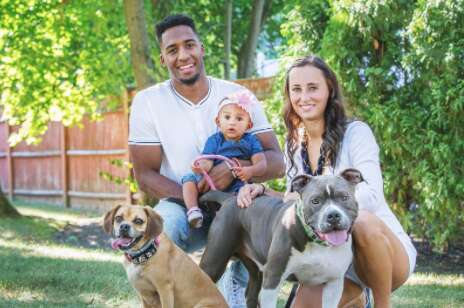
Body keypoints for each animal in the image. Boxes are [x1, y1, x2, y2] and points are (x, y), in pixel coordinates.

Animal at [198, 168, 362, 308]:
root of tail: (230, 199)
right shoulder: (273, 279)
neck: (318, 243)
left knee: (251, 294)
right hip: (213, 262)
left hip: (256, 269)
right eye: (315, 201)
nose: (333, 215)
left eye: (344, 197)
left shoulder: (334, 284)